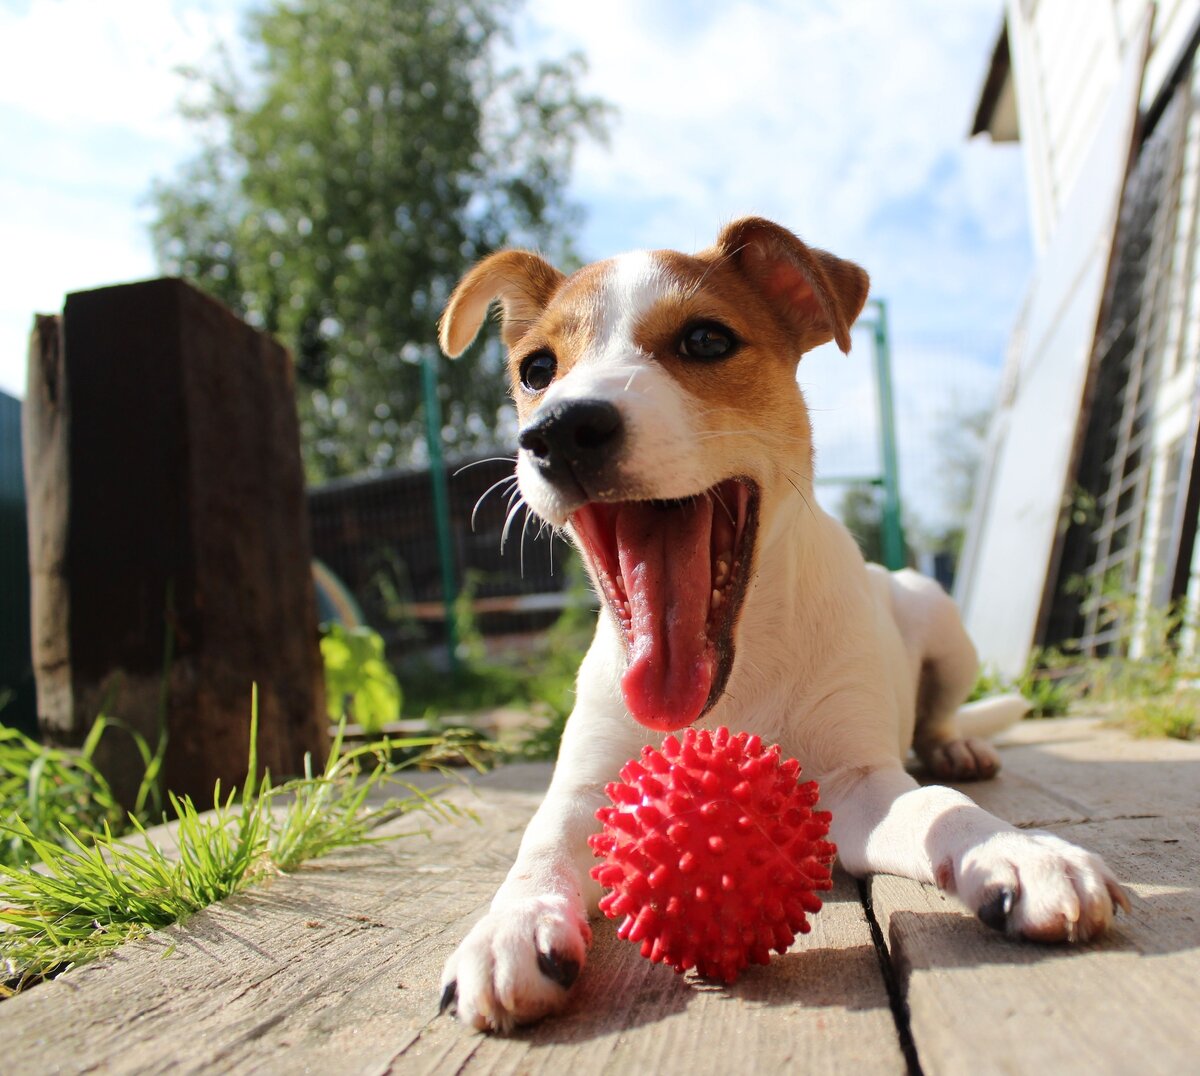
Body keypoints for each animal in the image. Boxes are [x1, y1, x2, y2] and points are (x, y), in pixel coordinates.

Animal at [436, 218, 1128, 1031]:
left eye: (706, 340)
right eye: (537, 369)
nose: (561, 430)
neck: (738, 673)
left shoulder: (858, 783)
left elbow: (934, 807)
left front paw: (1018, 853)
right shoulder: (586, 790)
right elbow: (539, 840)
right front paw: (509, 926)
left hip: (939, 615)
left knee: (939, 720)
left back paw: (957, 747)